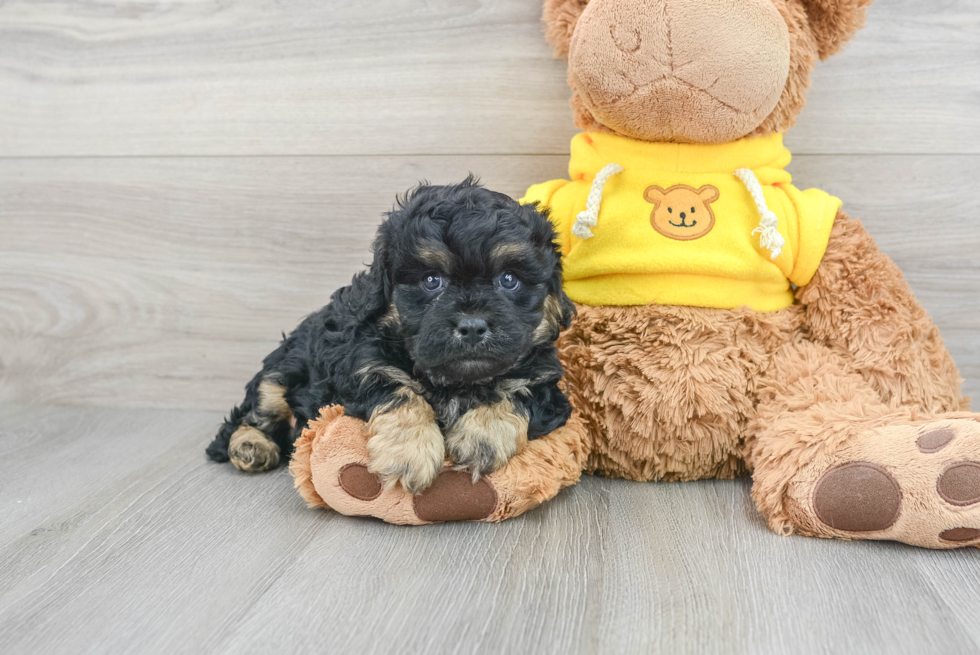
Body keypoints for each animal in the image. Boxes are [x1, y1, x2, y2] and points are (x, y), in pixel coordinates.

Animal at [207, 177, 576, 494]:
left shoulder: (545, 383)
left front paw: (482, 436)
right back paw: (250, 445)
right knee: (253, 414)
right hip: (280, 372)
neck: (456, 382)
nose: (472, 325)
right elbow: (398, 391)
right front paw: (409, 453)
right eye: (431, 280)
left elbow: (516, 392)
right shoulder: (363, 366)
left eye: (509, 279)